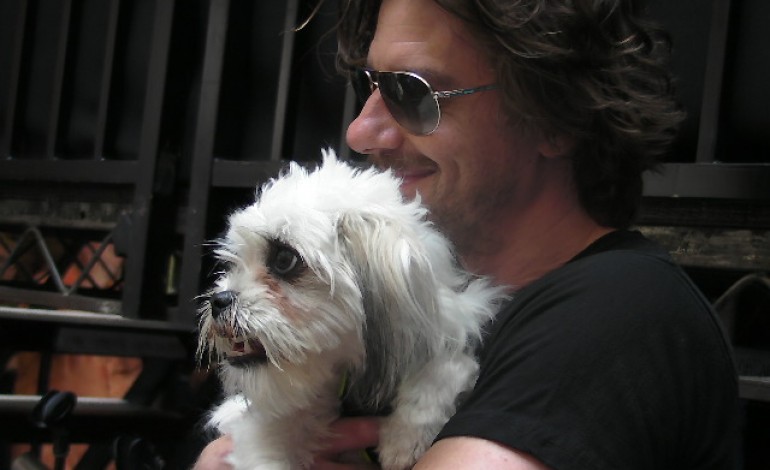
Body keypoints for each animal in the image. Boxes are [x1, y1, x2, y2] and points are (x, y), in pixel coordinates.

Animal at [200, 152, 504, 468]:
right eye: (232, 263)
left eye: (284, 259)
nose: (219, 300)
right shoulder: (267, 429)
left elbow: (443, 366)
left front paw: (403, 438)